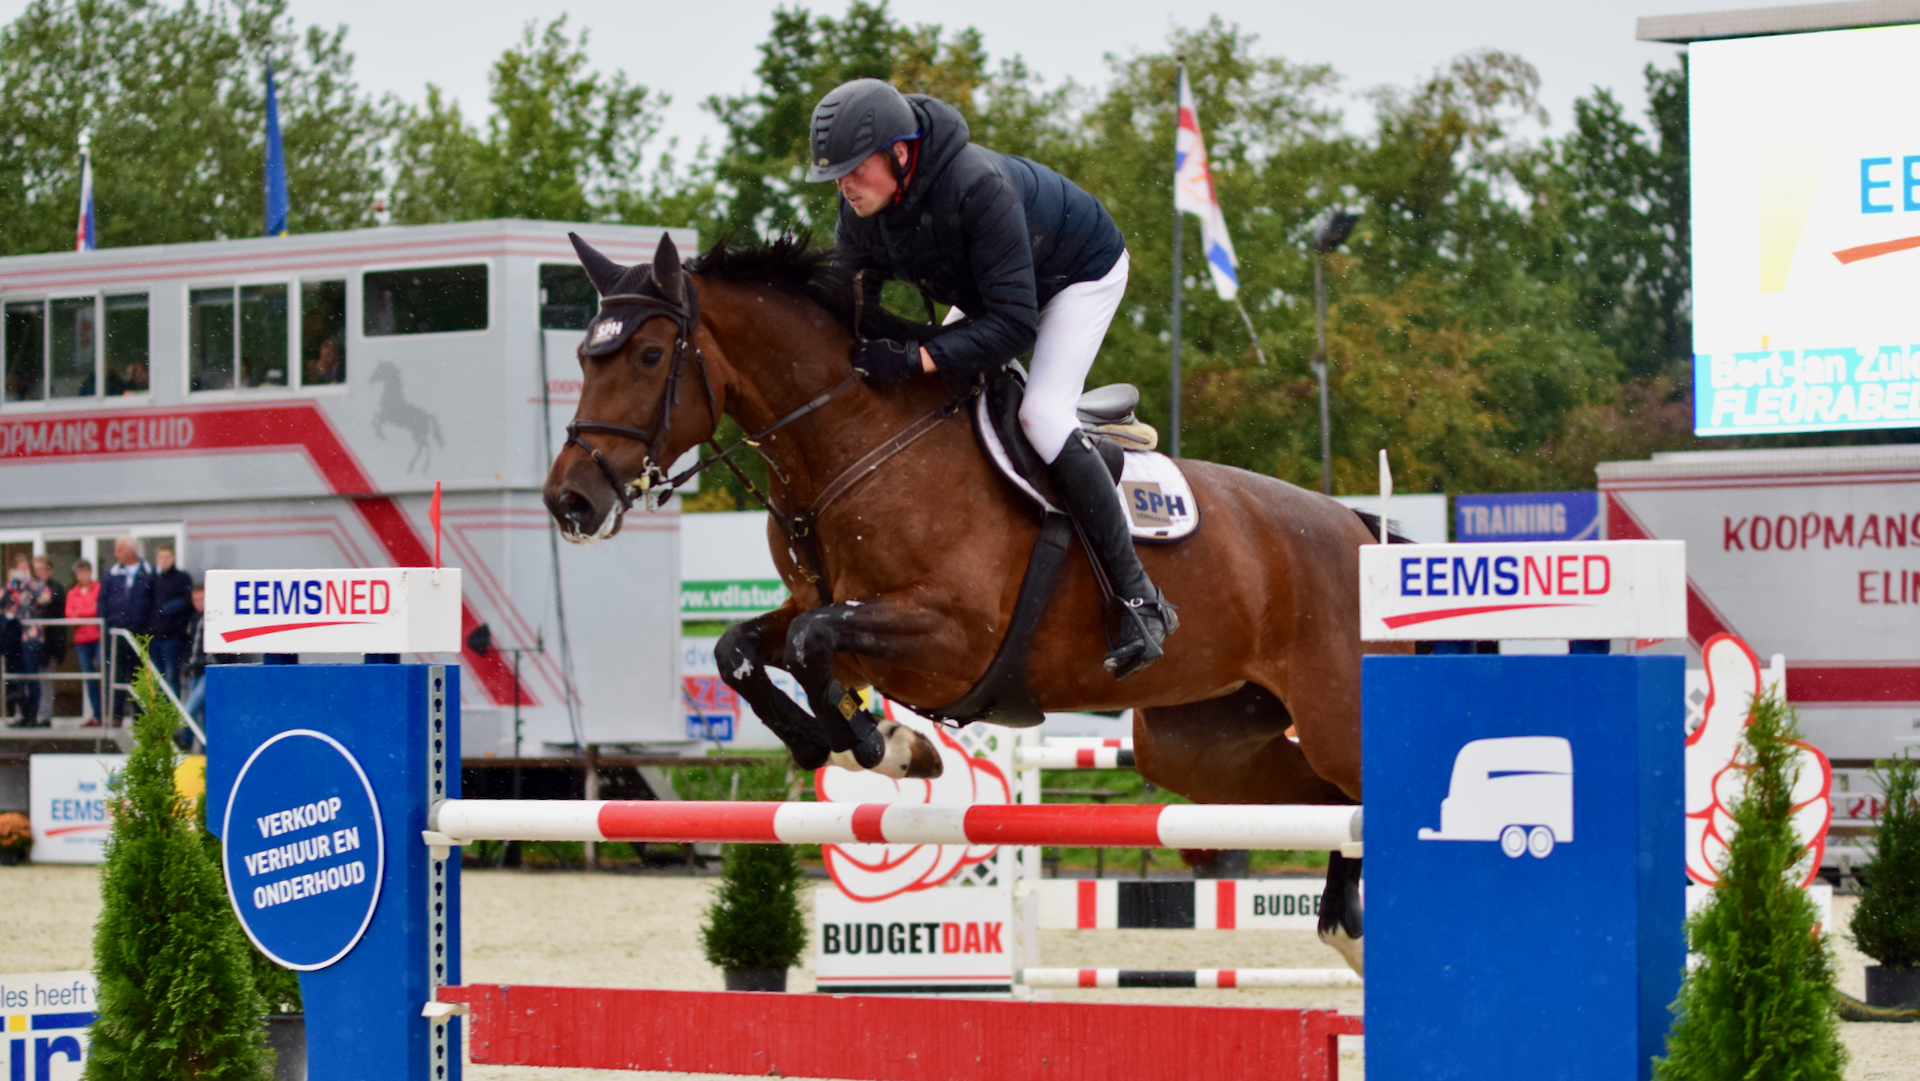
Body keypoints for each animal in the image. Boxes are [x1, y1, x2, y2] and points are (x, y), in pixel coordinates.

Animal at [545, 230, 1413, 971]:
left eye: (650, 354)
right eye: (585, 358)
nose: (569, 502)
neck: (856, 444)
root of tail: (1359, 526)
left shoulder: (953, 638)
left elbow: (810, 643)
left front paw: (879, 741)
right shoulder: (823, 603)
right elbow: (744, 649)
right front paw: (865, 743)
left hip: (1332, 716)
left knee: (1359, 790)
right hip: (1203, 746)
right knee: (1326, 803)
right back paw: (1348, 933)